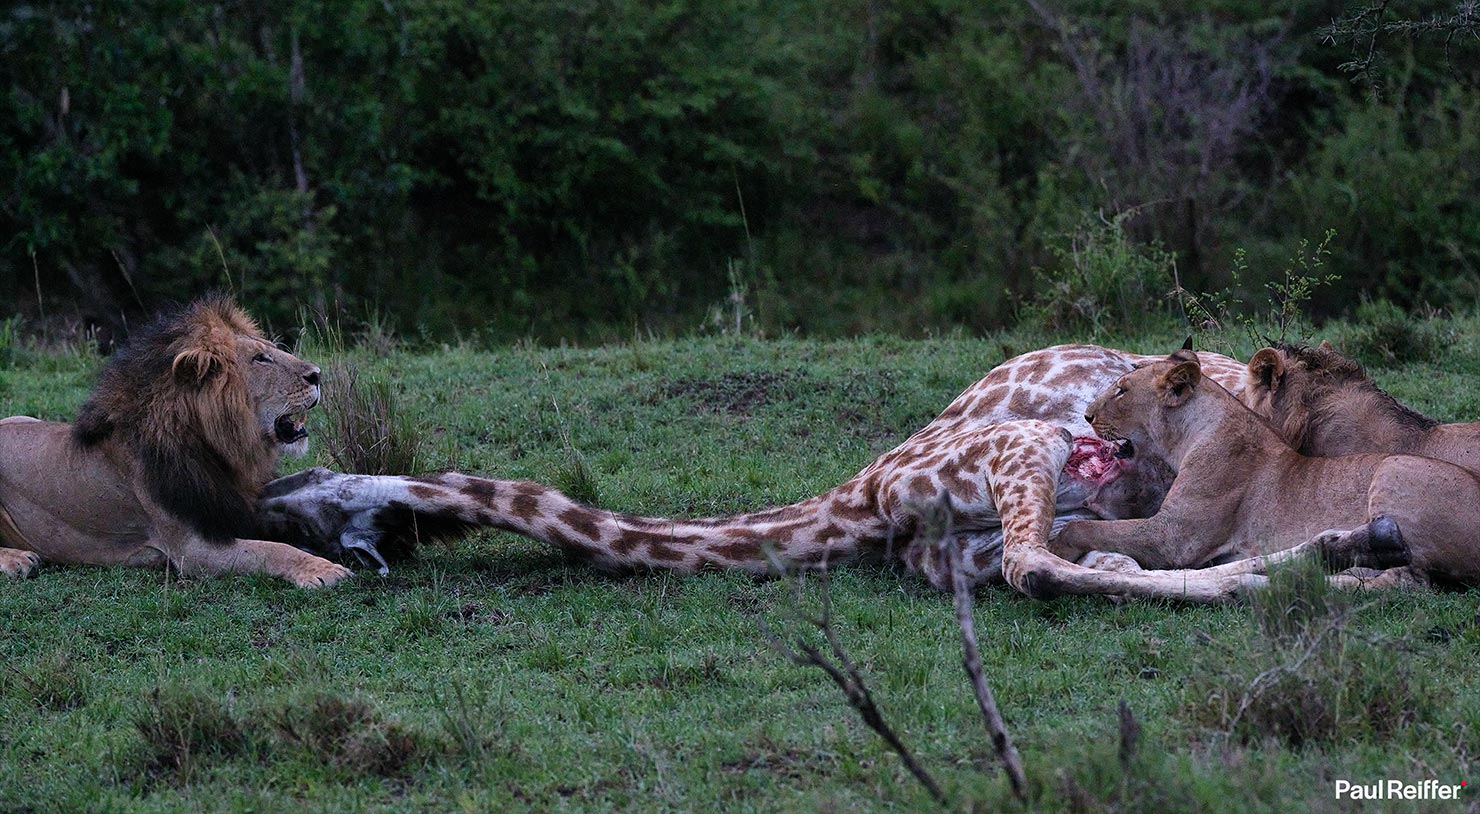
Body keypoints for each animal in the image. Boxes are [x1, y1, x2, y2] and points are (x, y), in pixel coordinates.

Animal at [0, 296, 352, 588]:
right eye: (260, 359)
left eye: (271, 348)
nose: (317, 374)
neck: (217, 447)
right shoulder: (193, 550)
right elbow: (273, 550)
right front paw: (323, 569)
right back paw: (17, 559)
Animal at [1048, 350, 1480, 591]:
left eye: (1121, 390)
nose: (1087, 415)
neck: (1192, 433)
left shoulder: (1175, 538)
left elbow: (1085, 528)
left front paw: (1055, 547)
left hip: (1391, 467)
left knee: (1409, 576)